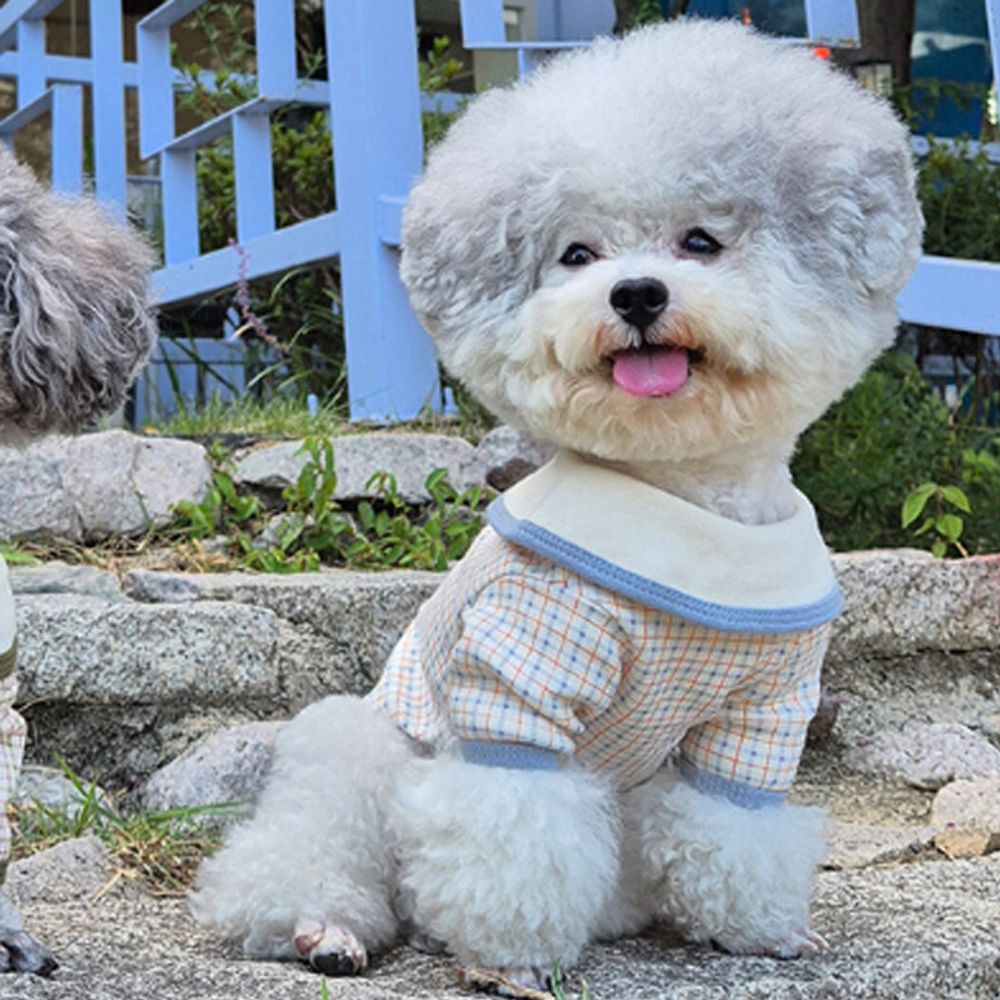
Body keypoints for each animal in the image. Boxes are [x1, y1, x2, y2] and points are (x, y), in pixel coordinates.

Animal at [188, 19, 920, 996]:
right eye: (577, 255)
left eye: (700, 241)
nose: (636, 293)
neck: (682, 503)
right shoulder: (521, 677)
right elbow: (513, 817)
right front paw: (510, 955)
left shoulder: (764, 705)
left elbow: (736, 822)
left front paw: (757, 931)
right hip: (360, 751)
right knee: (305, 858)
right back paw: (323, 929)